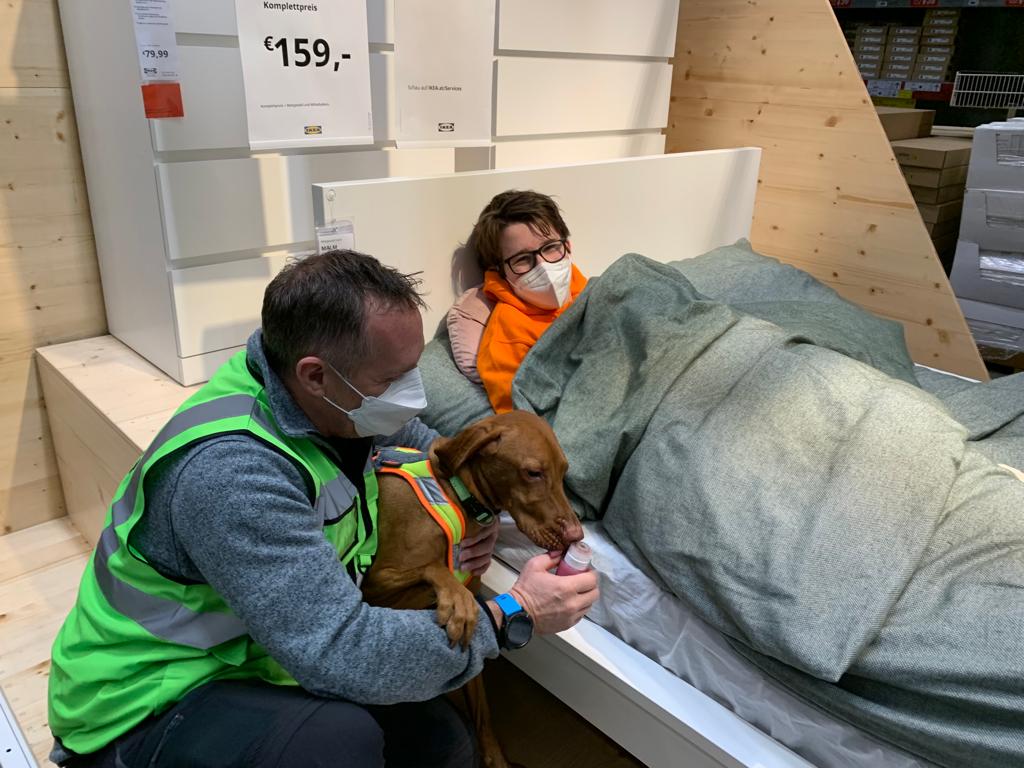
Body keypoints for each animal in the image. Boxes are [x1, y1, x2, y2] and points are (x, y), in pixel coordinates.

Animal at [361, 411, 584, 768]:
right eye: (533, 473)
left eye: (564, 472)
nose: (577, 536)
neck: (455, 495)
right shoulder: (373, 581)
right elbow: (433, 567)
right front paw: (458, 601)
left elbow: (482, 711)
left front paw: (494, 756)